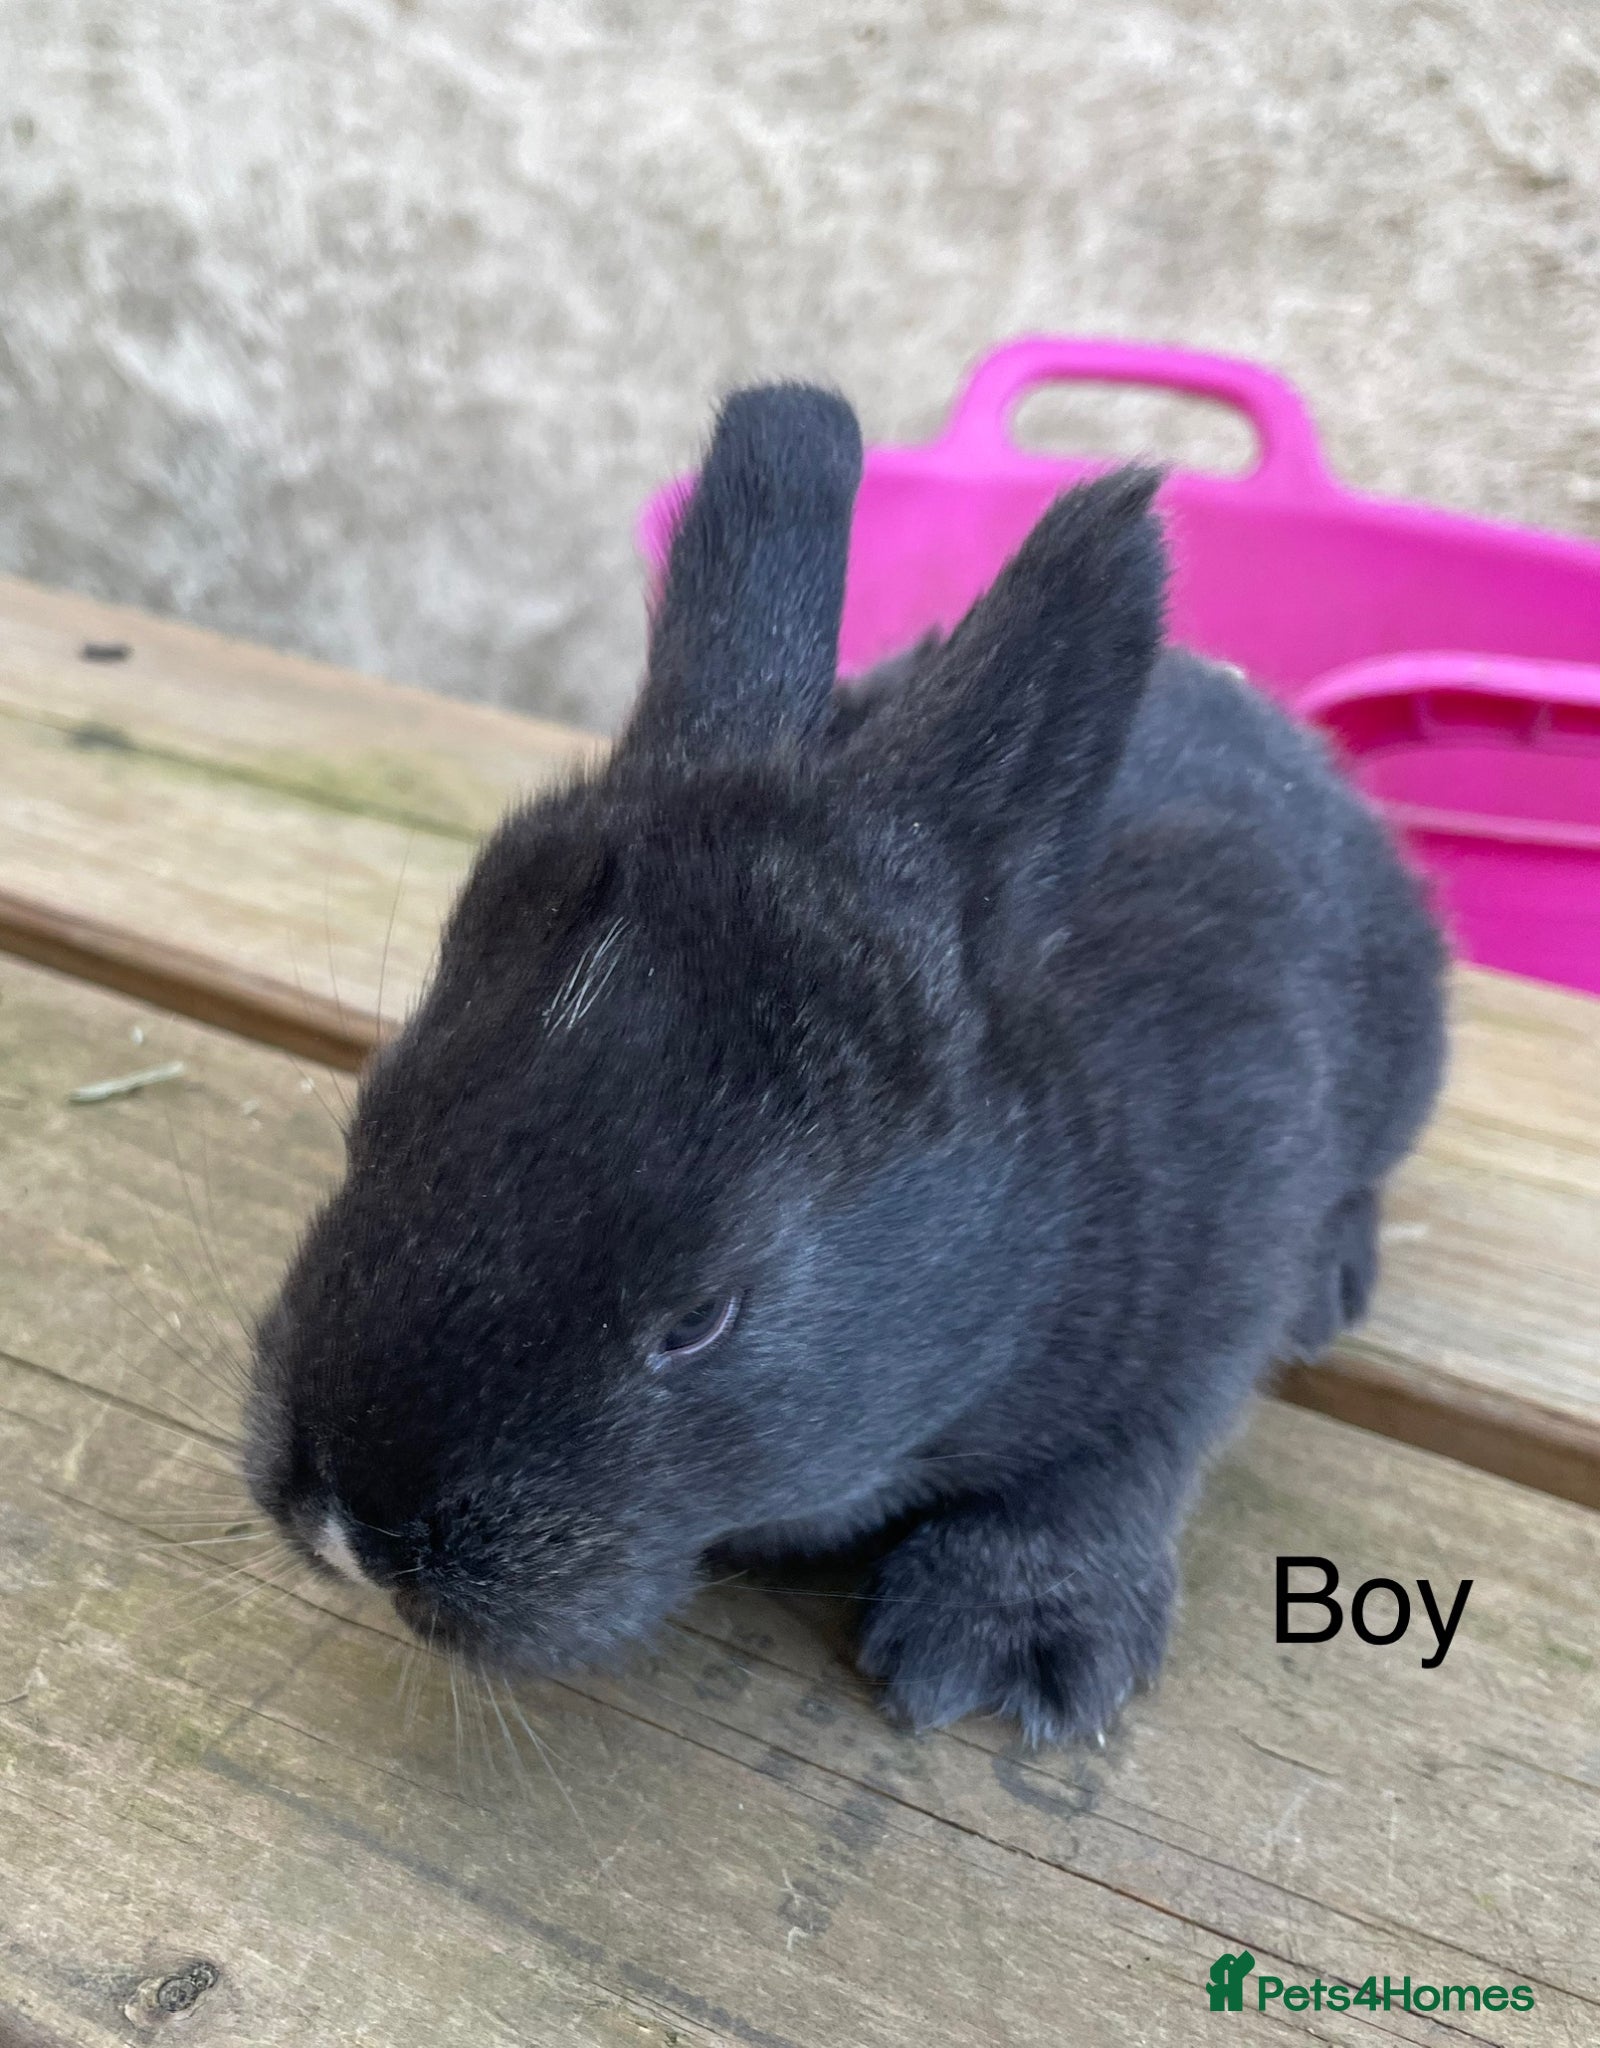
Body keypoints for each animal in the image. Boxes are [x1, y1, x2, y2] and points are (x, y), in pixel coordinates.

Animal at [244, 383, 1447, 1745]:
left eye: (701, 1317)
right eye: (372, 1123)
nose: (350, 1522)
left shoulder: (1214, 1270)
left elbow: (1115, 1460)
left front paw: (1001, 1644)